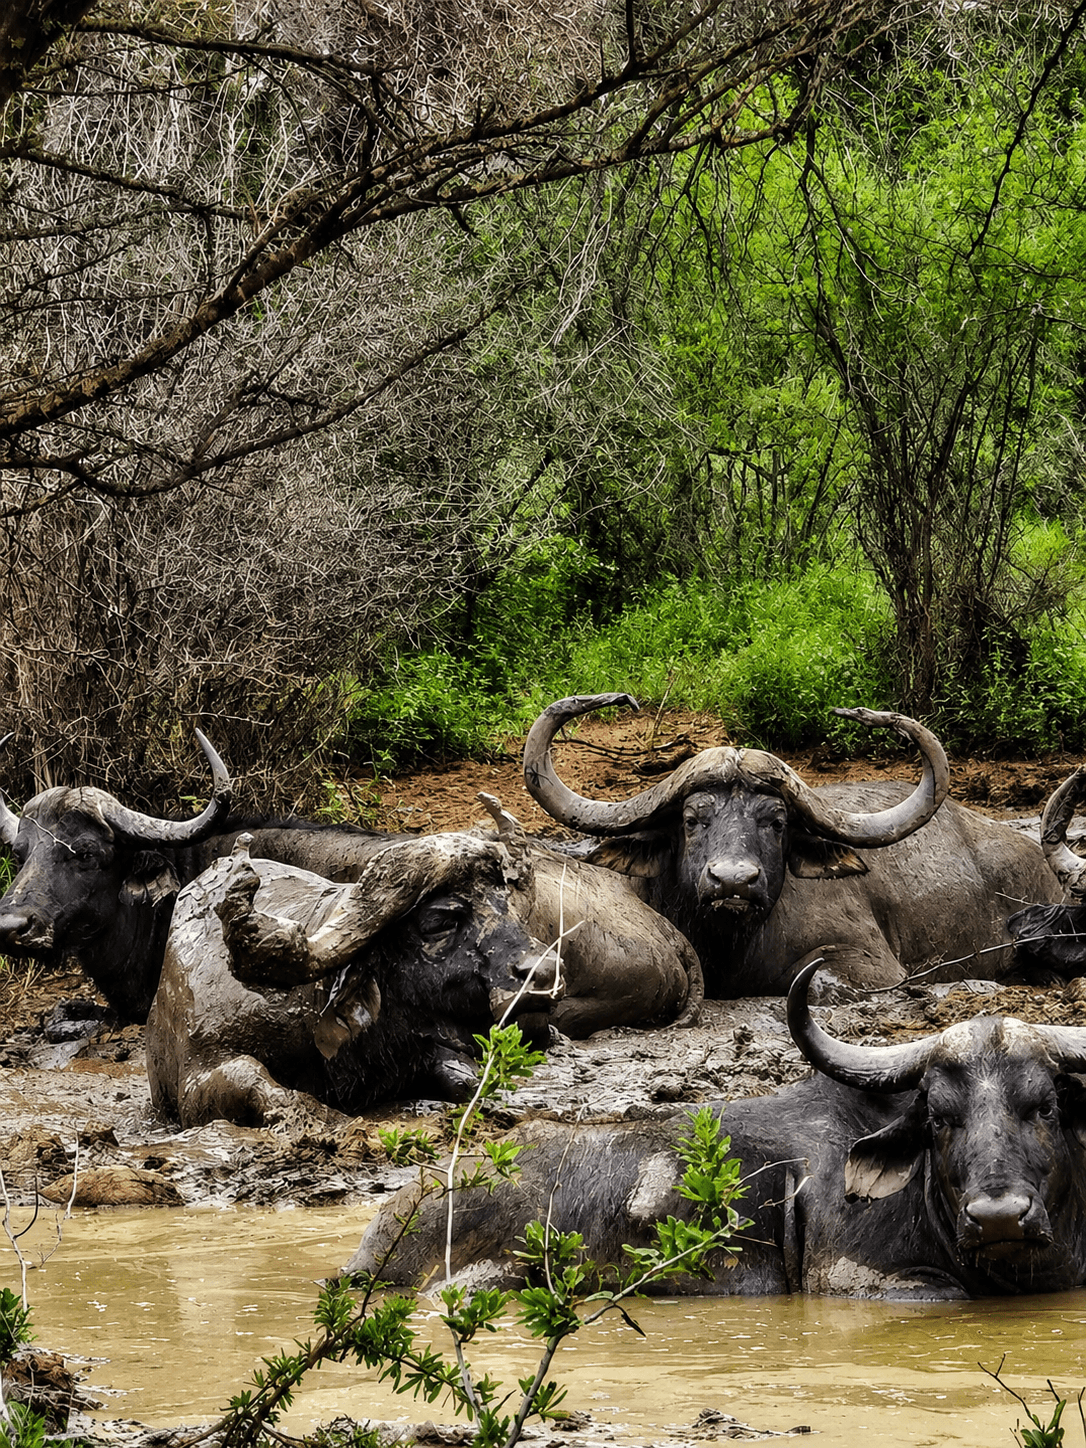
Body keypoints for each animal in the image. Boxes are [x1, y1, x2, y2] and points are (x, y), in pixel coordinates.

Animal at [145, 796, 703, 1126]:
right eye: (439, 920)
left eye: (506, 905)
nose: (544, 974)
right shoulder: (198, 1080)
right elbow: (264, 1087)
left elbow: (464, 1075)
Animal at [522, 695, 1062, 995]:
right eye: (693, 820)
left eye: (777, 822)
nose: (733, 881)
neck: (731, 944)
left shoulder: (874, 964)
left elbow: (819, 981)